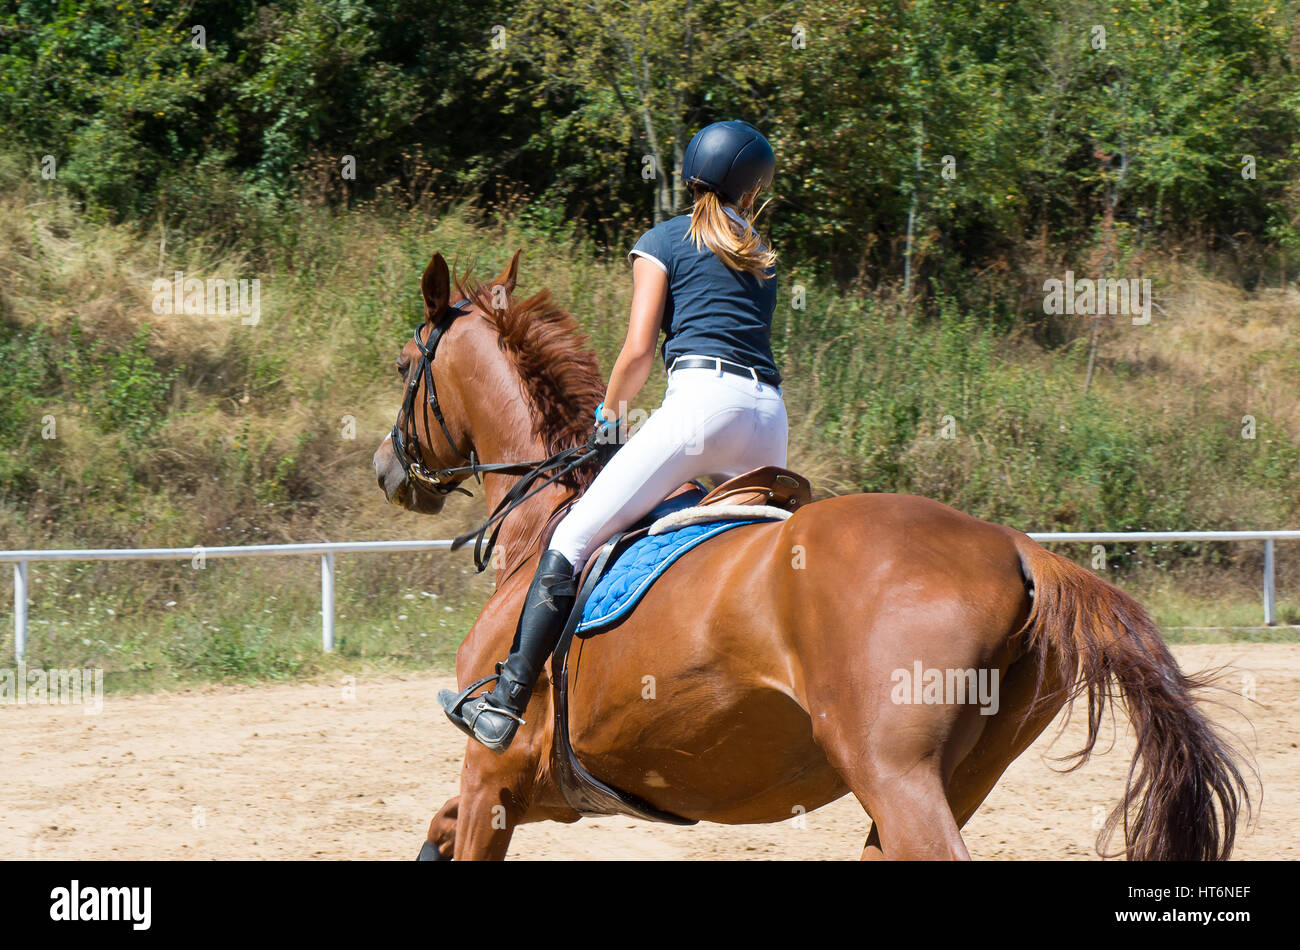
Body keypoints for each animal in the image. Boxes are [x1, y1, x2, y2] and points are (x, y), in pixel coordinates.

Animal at [374, 250, 1248, 862]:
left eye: (404, 364)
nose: (387, 469)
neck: (540, 525)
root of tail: (1021, 551)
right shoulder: (541, 790)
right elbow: (435, 830)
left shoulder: (494, 775)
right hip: (952, 778)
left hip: (893, 774)